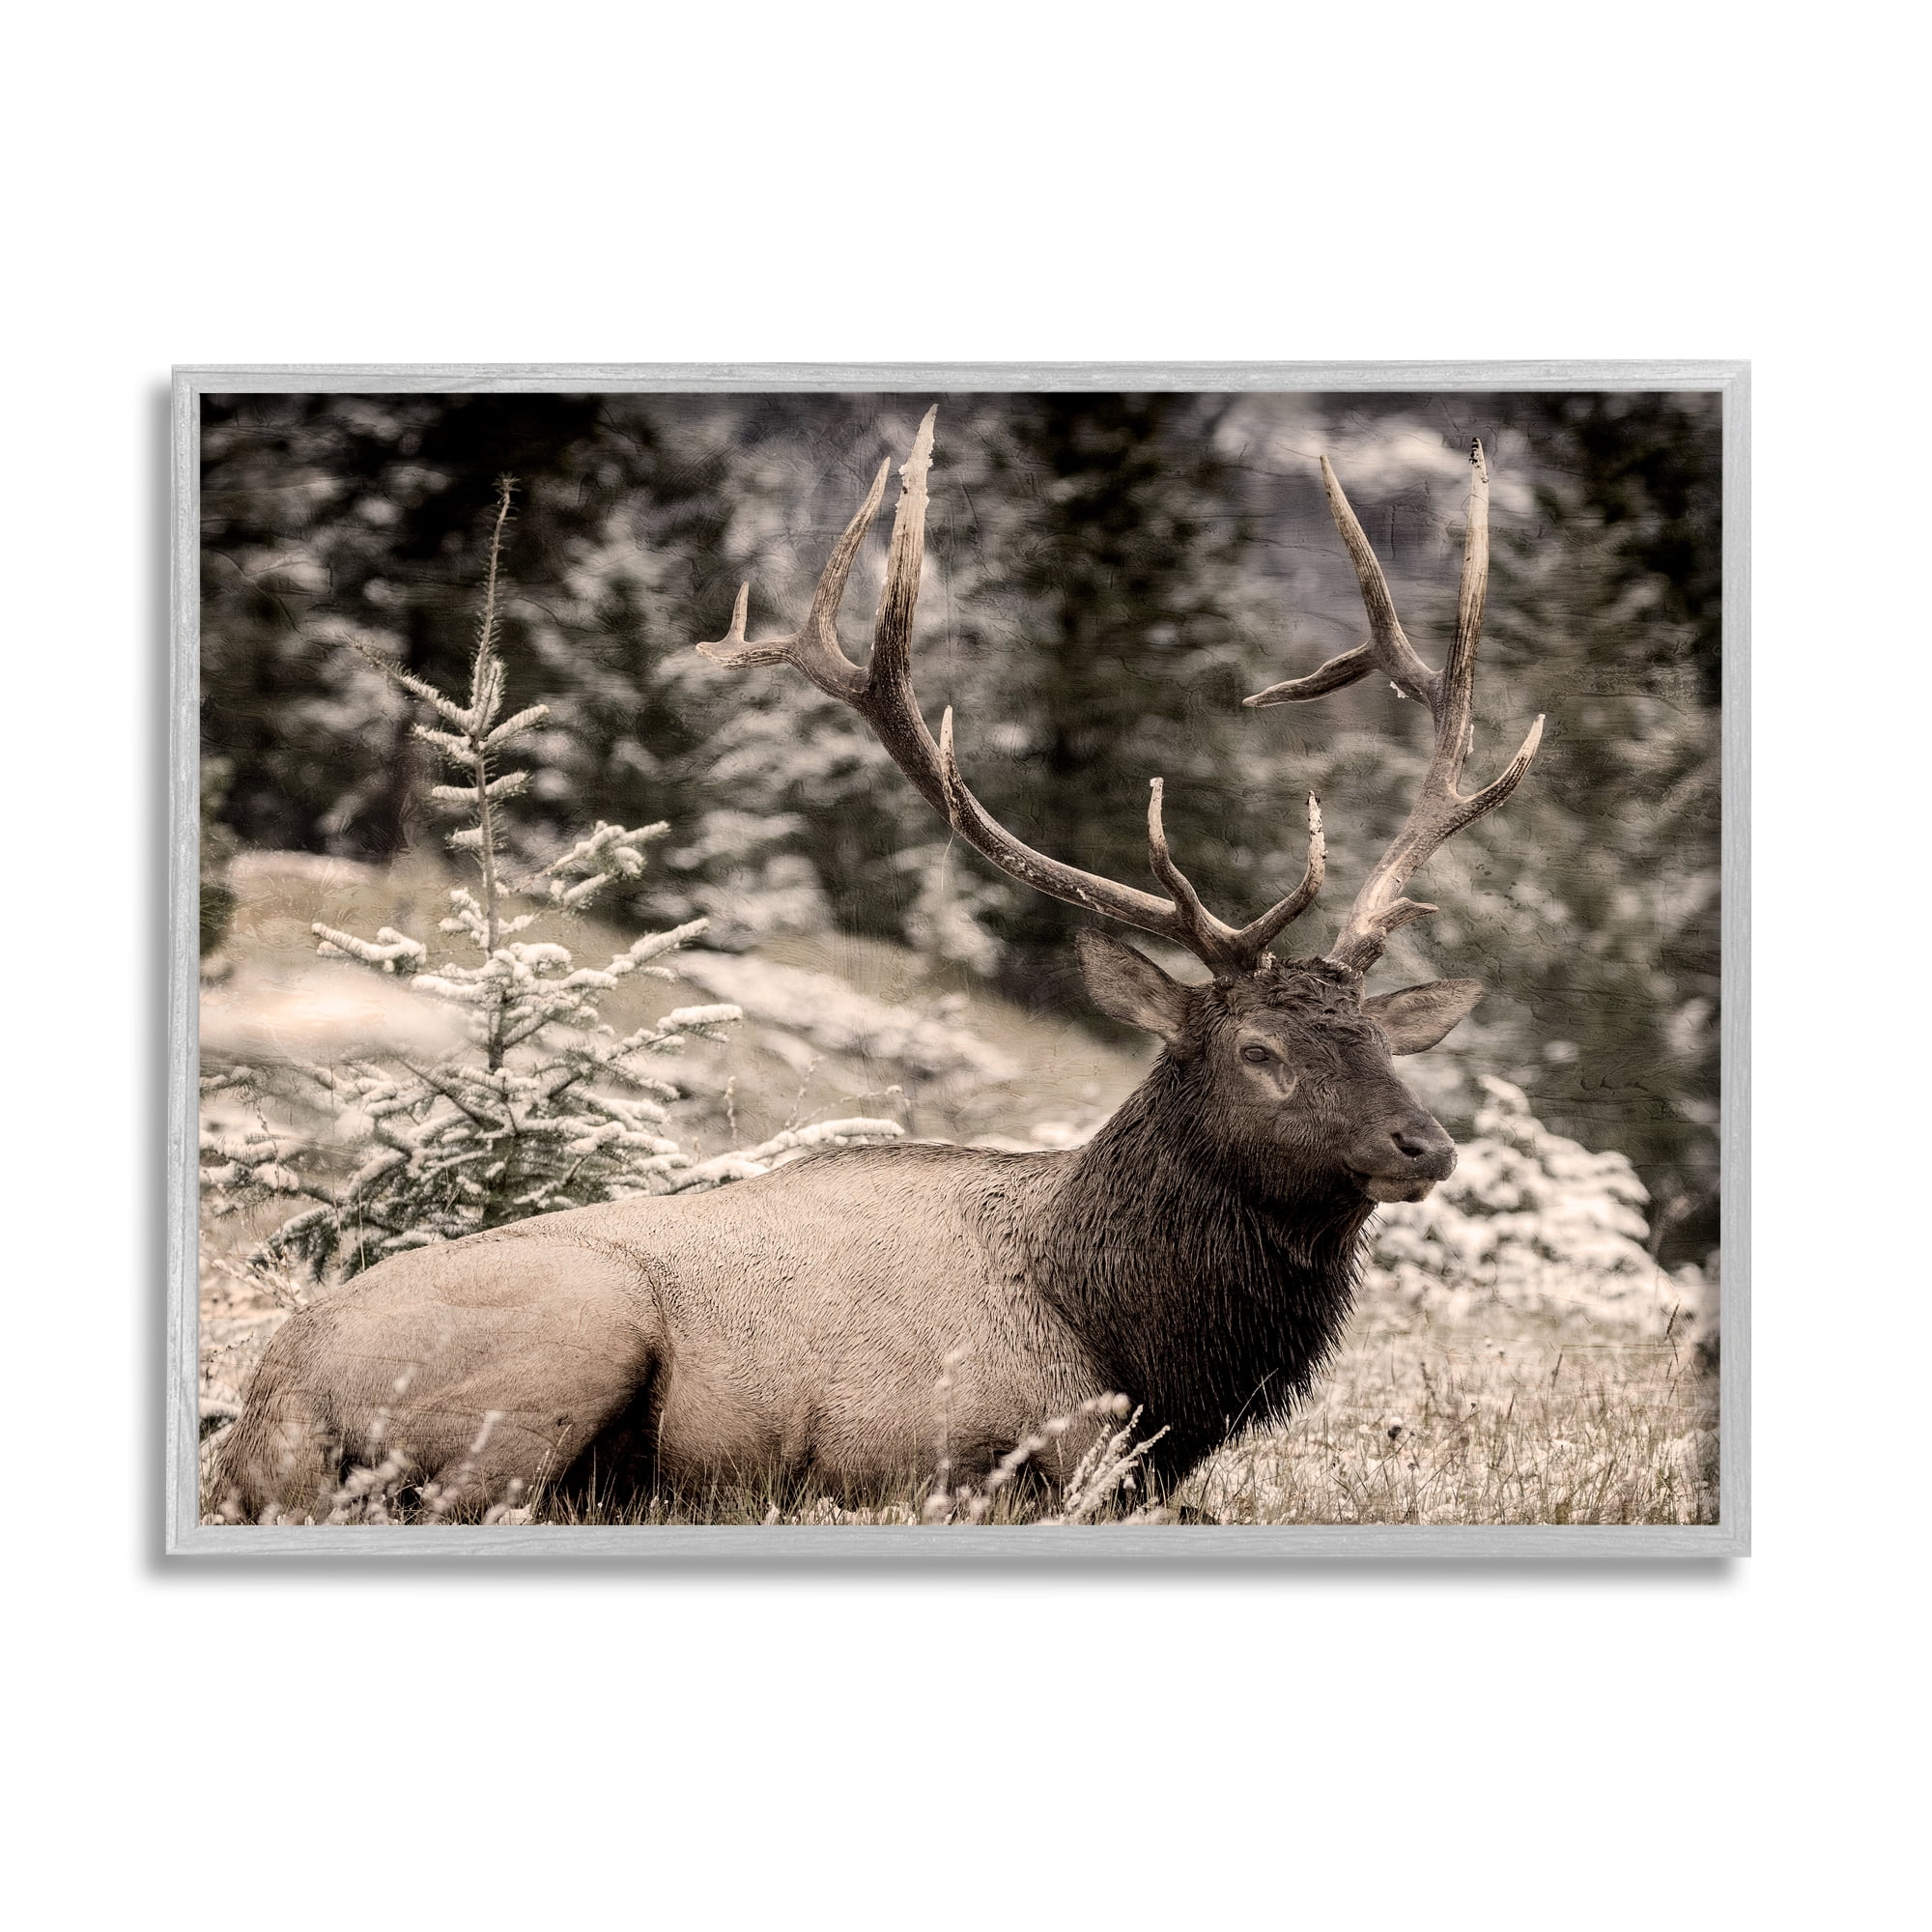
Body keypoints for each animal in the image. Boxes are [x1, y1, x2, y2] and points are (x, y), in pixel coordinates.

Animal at [212, 409, 1542, 1524]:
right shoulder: (947, 1450)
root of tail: (262, 1414)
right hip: (571, 1331)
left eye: (1377, 1037)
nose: (1423, 1143)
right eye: (1259, 1049)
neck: (1134, 1344)